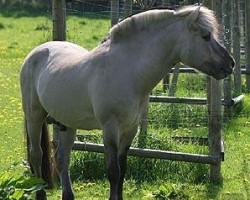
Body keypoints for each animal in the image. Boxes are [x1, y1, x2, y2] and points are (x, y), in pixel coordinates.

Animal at [19, 4, 234, 200]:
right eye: (206, 36)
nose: (230, 64)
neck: (128, 71)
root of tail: (36, 52)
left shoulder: (131, 128)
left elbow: (122, 169)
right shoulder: (110, 127)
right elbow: (113, 172)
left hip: (67, 123)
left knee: (62, 159)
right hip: (34, 116)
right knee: (37, 155)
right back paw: (40, 194)